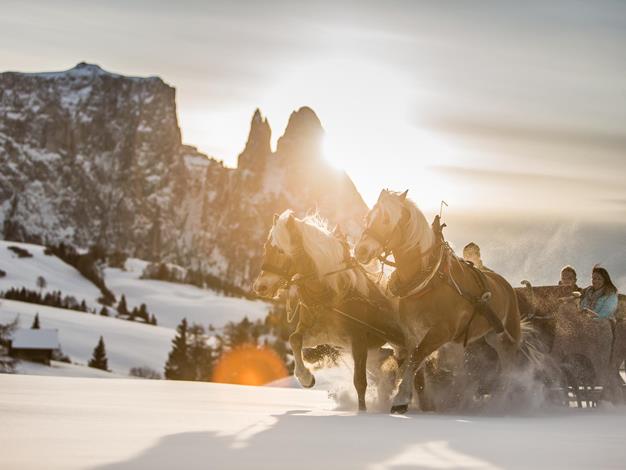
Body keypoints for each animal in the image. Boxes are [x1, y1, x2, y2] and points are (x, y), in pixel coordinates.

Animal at [251, 210, 402, 412]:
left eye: (281, 250)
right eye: (267, 247)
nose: (260, 287)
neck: (332, 294)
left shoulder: (359, 340)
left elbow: (360, 382)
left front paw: (362, 412)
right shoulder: (323, 335)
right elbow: (294, 339)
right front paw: (306, 378)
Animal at [354, 189, 524, 414]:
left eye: (387, 219)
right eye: (367, 218)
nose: (361, 250)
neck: (427, 279)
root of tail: (505, 284)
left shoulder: (441, 332)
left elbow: (417, 358)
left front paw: (400, 398)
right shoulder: (412, 333)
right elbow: (415, 364)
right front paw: (421, 403)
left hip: (508, 335)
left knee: (510, 366)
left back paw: (506, 399)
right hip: (484, 336)